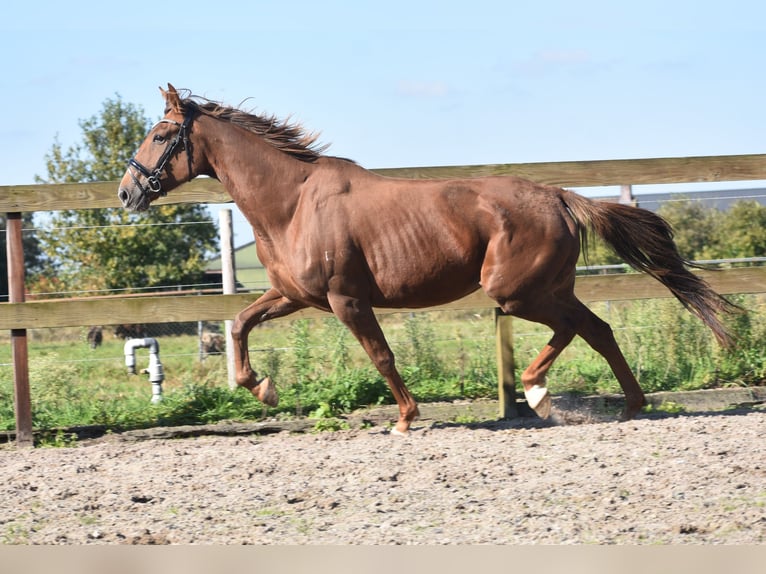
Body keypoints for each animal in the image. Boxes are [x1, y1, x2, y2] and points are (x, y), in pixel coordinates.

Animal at [118, 84, 736, 436]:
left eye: (160, 136)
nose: (127, 193)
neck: (291, 202)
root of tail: (560, 196)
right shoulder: (295, 296)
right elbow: (242, 324)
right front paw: (263, 388)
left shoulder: (346, 300)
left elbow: (382, 357)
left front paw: (406, 419)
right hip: (547, 287)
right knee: (597, 329)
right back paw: (629, 405)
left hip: (515, 291)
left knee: (573, 329)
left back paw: (539, 392)